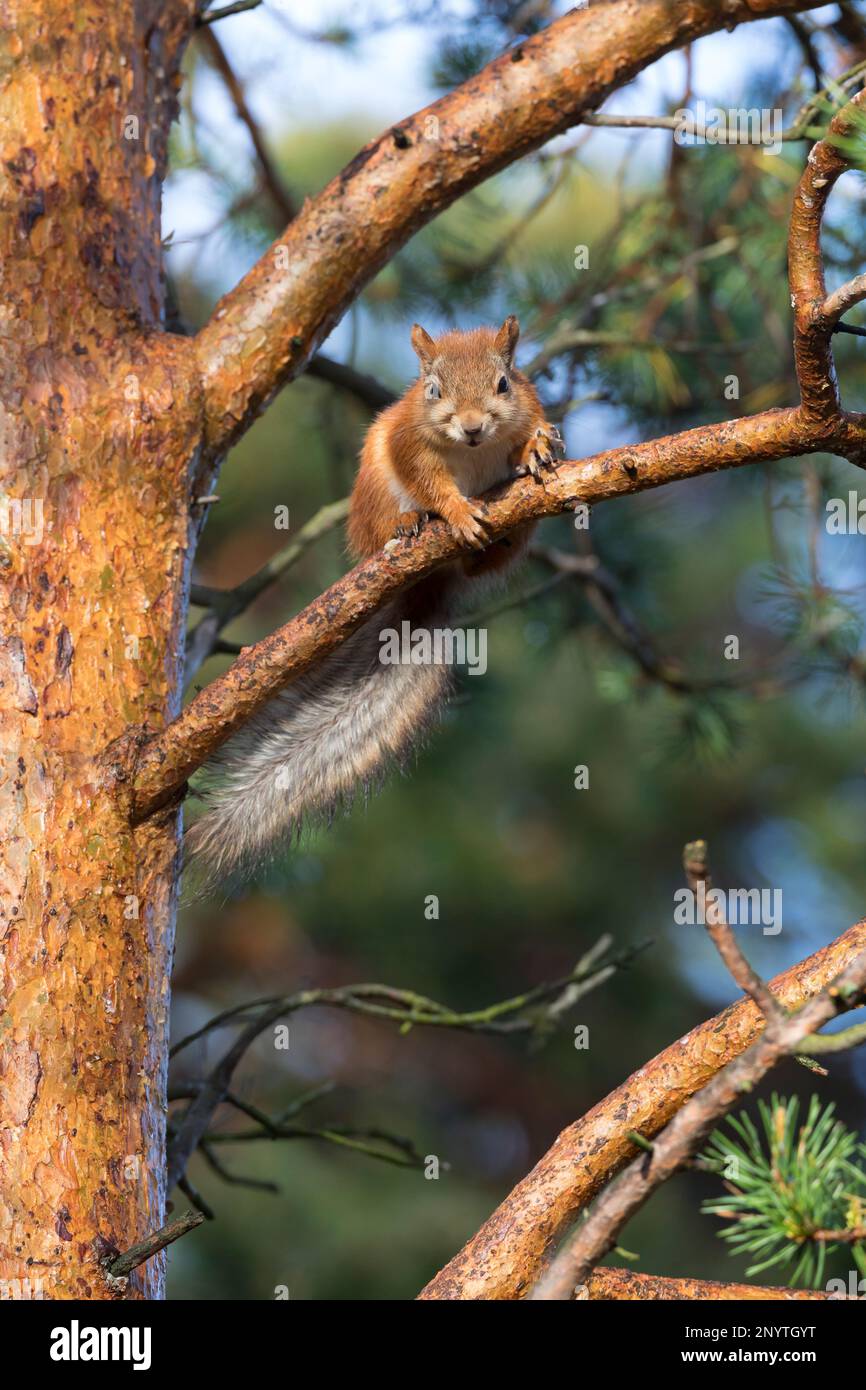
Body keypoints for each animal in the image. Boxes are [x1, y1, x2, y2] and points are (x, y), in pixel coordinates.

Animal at [189, 319, 561, 872]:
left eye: (504, 384)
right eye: (433, 391)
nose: (473, 427)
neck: (473, 452)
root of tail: (428, 581)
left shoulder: (527, 408)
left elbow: (529, 435)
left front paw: (536, 448)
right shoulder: (408, 443)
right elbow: (428, 481)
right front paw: (454, 510)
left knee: (488, 561)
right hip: (376, 491)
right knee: (399, 514)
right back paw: (409, 524)